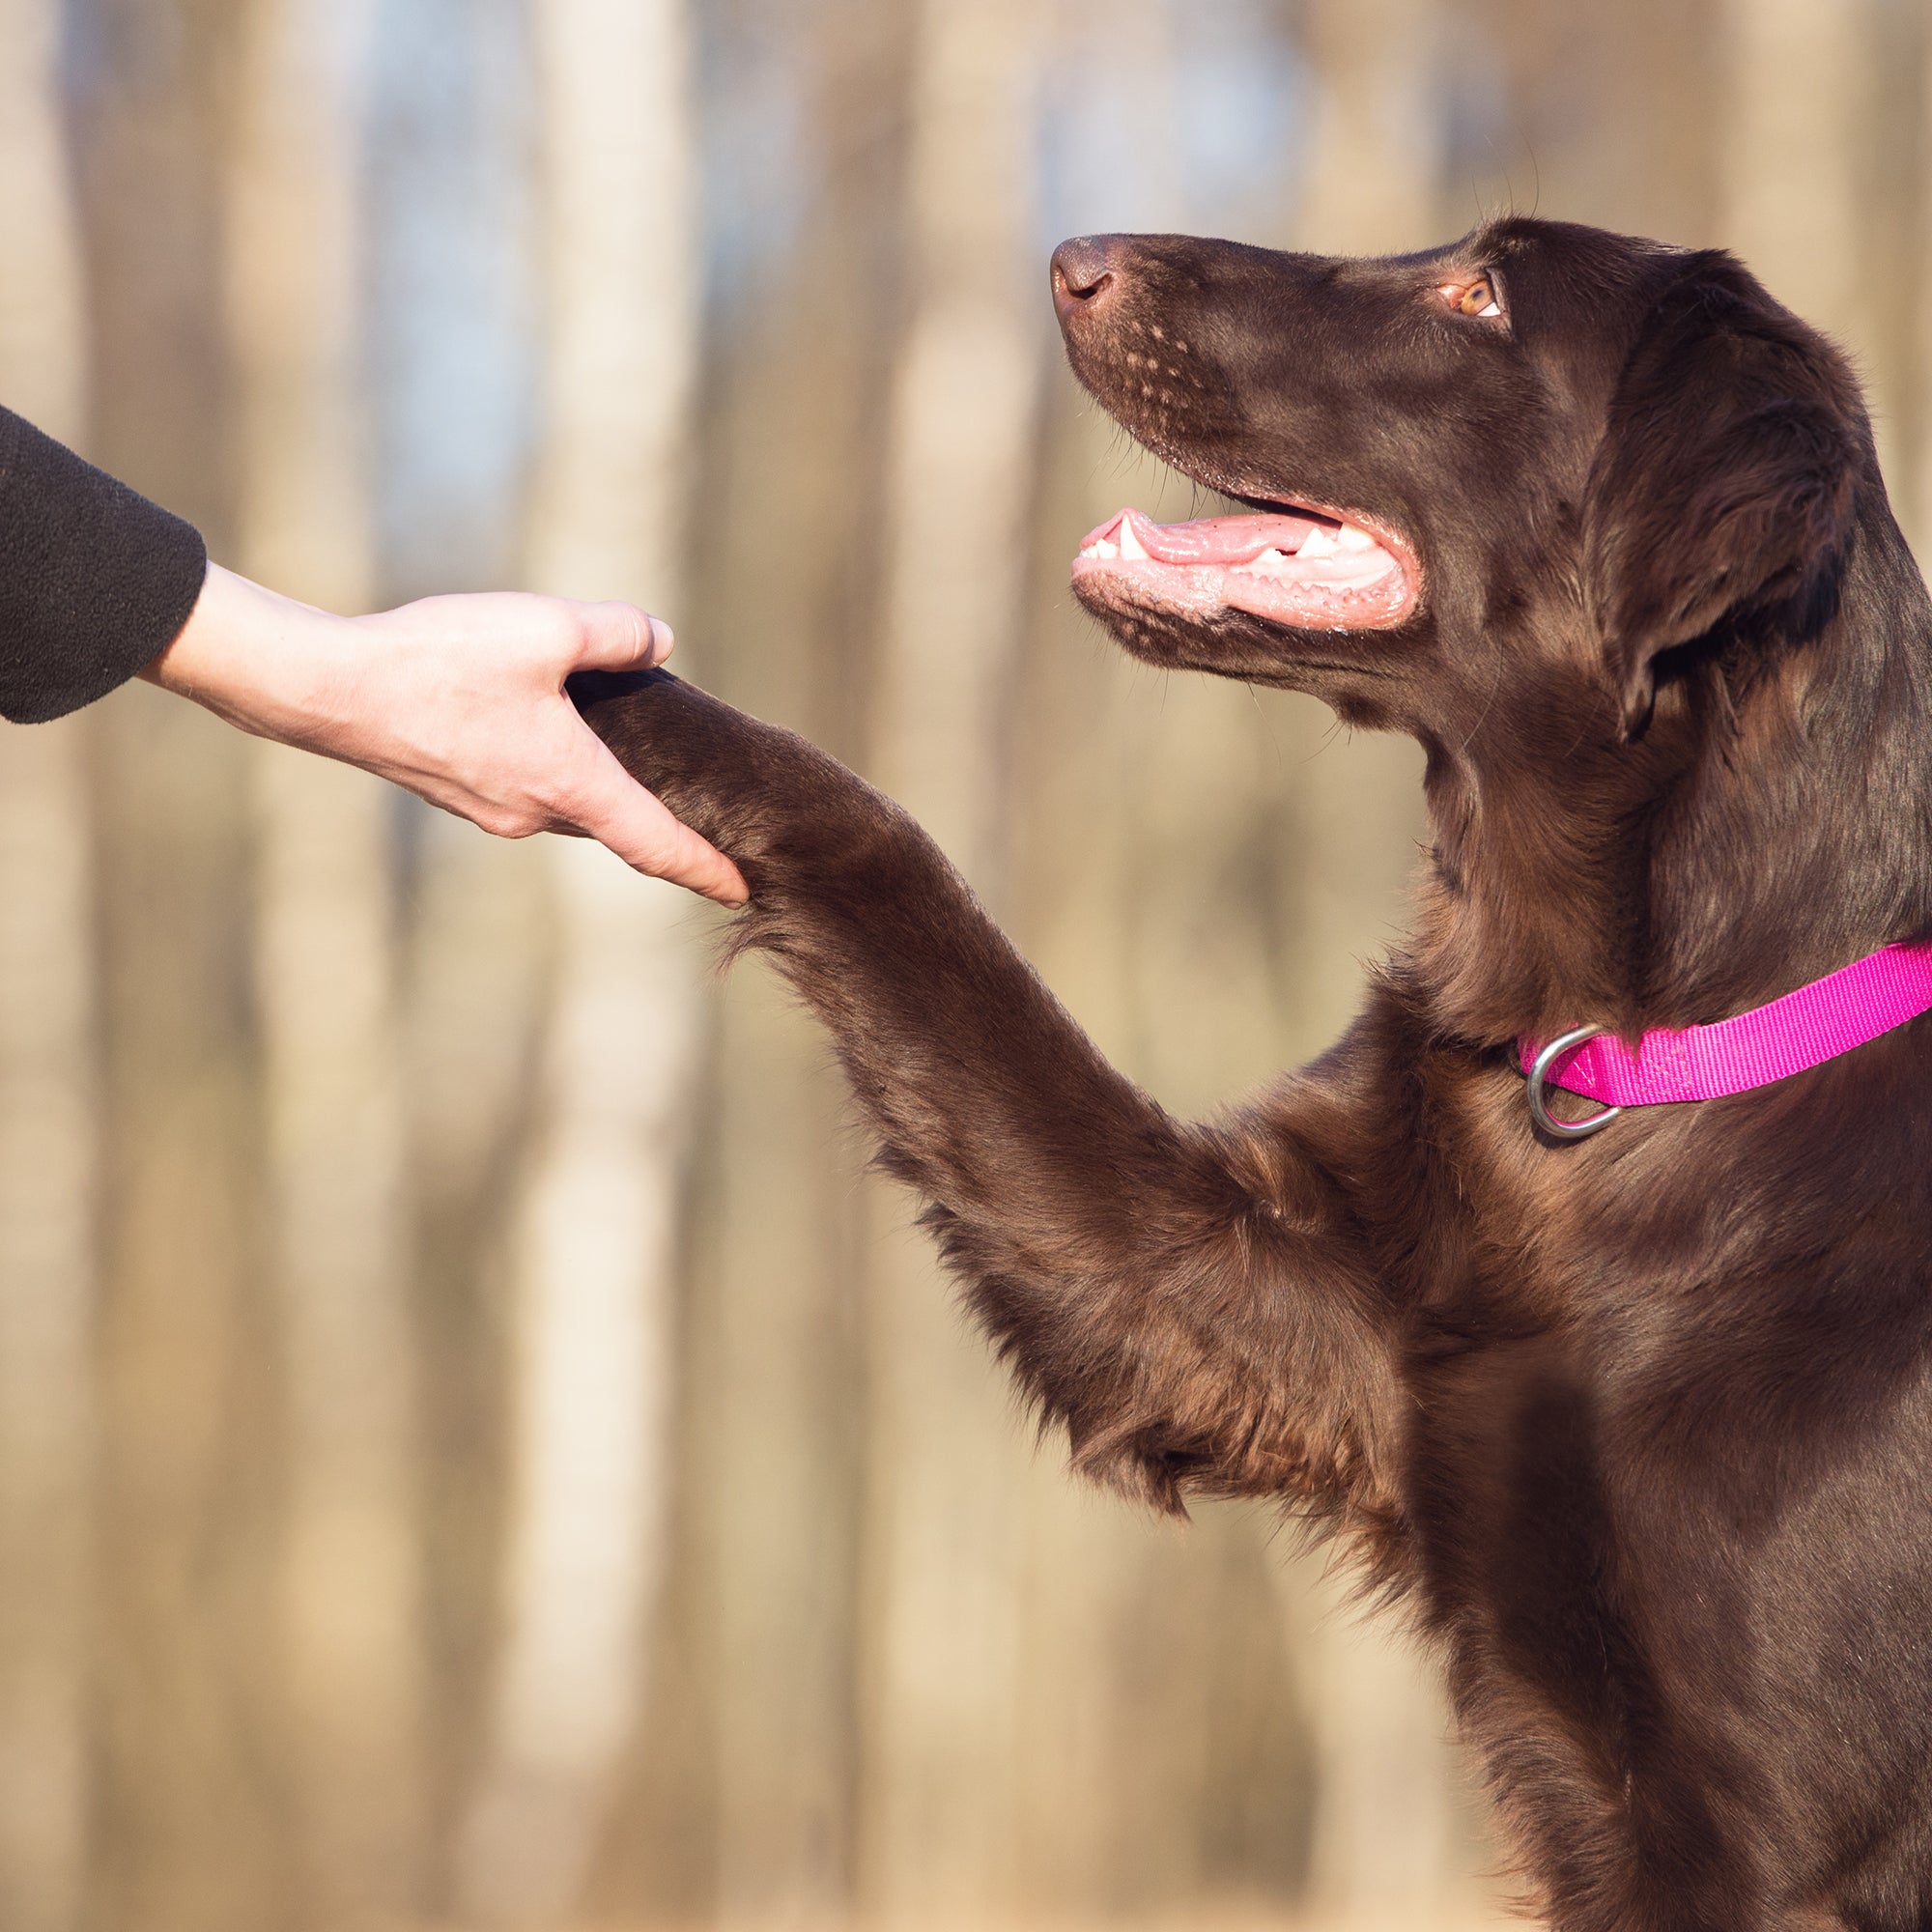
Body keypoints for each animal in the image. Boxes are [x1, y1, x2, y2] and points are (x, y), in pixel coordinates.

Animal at [580, 219, 1932, 1932]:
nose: (1076, 258)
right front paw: (573, 679)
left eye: (1482, 294)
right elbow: (888, 861)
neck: (1637, 1059)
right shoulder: (1227, 1293)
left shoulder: (1780, 1838)